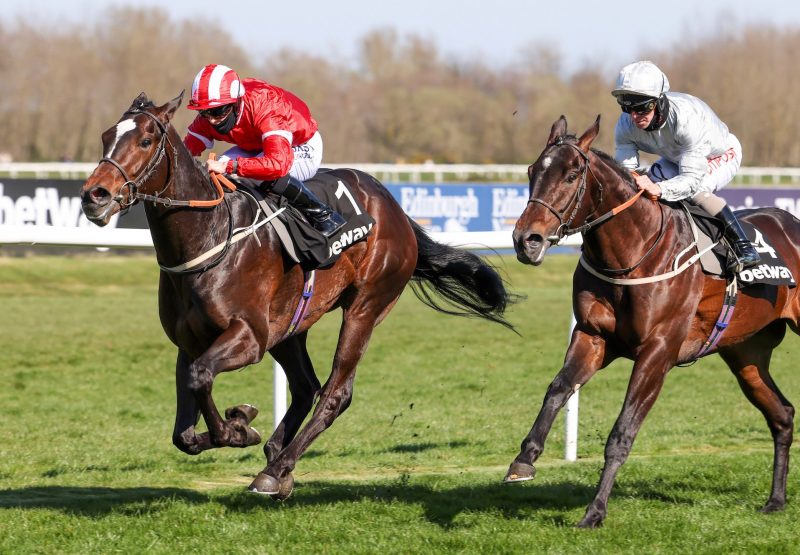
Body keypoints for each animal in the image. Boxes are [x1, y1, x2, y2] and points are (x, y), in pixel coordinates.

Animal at [81, 91, 516, 500]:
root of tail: (394, 207)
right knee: (306, 386)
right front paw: (242, 424)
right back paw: (276, 458)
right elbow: (184, 431)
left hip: (365, 306)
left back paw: (276, 469)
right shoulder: (189, 343)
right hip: (289, 326)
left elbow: (201, 378)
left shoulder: (249, 337)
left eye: (146, 140)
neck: (210, 236)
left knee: (335, 393)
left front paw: (239, 428)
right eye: (105, 136)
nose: (94, 195)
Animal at [510, 115, 796, 528]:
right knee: (782, 414)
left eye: (572, 175)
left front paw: (594, 512)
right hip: (746, 353)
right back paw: (775, 500)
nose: (526, 240)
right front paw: (524, 459)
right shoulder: (593, 336)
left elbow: (622, 432)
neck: (633, 253)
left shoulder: (658, 352)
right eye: (533, 171)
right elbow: (558, 388)